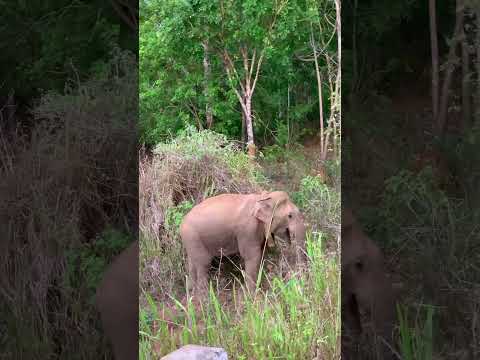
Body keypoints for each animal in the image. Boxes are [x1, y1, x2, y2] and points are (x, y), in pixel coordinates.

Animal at [180, 190, 308, 296]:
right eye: (290, 216)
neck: (263, 198)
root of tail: (181, 224)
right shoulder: (248, 230)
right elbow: (252, 256)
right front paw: (253, 296)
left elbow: (262, 253)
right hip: (193, 237)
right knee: (204, 263)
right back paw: (205, 298)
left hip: (191, 241)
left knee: (192, 264)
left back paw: (191, 295)